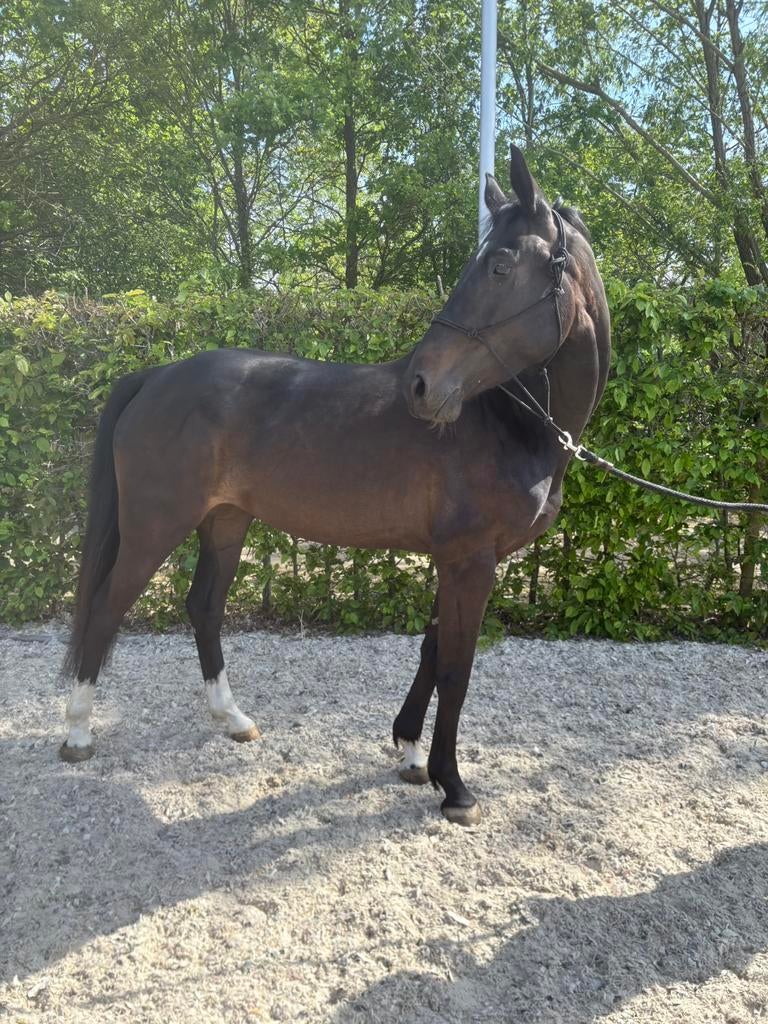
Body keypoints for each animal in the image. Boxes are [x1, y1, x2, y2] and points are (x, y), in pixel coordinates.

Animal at [60, 146, 610, 825]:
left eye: (502, 265)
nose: (420, 385)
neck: (511, 423)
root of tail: (156, 375)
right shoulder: (470, 561)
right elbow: (456, 669)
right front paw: (453, 785)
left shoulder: (455, 560)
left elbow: (432, 653)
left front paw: (410, 754)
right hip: (154, 527)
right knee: (106, 607)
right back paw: (78, 732)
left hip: (225, 522)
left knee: (203, 607)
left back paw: (232, 718)